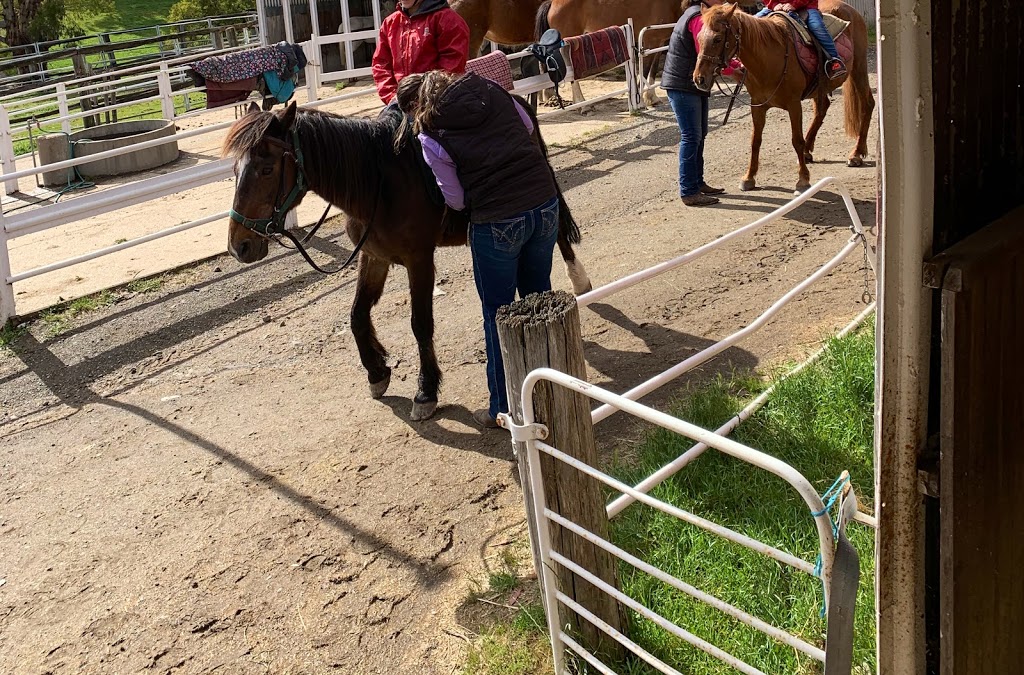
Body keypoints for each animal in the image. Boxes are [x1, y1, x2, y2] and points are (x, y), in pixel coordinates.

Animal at [224, 99, 593, 419]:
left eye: (267, 168)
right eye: (235, 169)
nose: (239, 246)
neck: (377, 184)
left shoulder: (419, 261)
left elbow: (420, 323)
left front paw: (426, 391)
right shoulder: (373, 257)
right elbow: (357, 316)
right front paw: (377, 372)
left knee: (558, 231)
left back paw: (579, 280)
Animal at [692, 2, 876, 192]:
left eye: (717, 39)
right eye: (698, 37)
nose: (699, 78)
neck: (769, 59)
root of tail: (849, 8)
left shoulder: (794, 105)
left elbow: (796, 140)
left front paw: (803, 179)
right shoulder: (757, 105)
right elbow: (755, 141)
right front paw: (749, 177)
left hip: (859, 68)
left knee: (867, 103)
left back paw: (856, 154)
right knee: (822, 108)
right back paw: (808, 151)